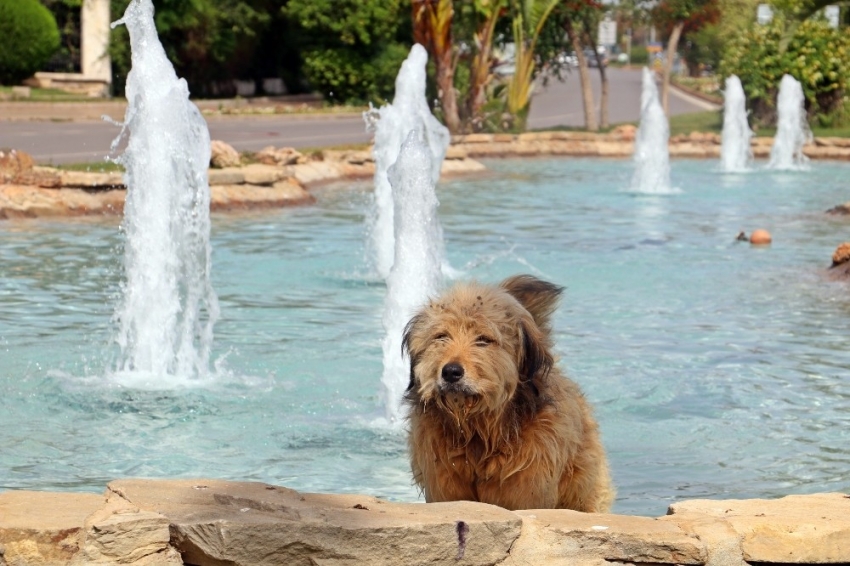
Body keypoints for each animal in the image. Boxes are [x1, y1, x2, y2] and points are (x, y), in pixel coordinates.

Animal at [400, 276, 612, 516]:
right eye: (441, 336)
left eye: (483, 339)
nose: (451, 372)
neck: (479, 434)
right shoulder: (444, 484)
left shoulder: (528, 489)